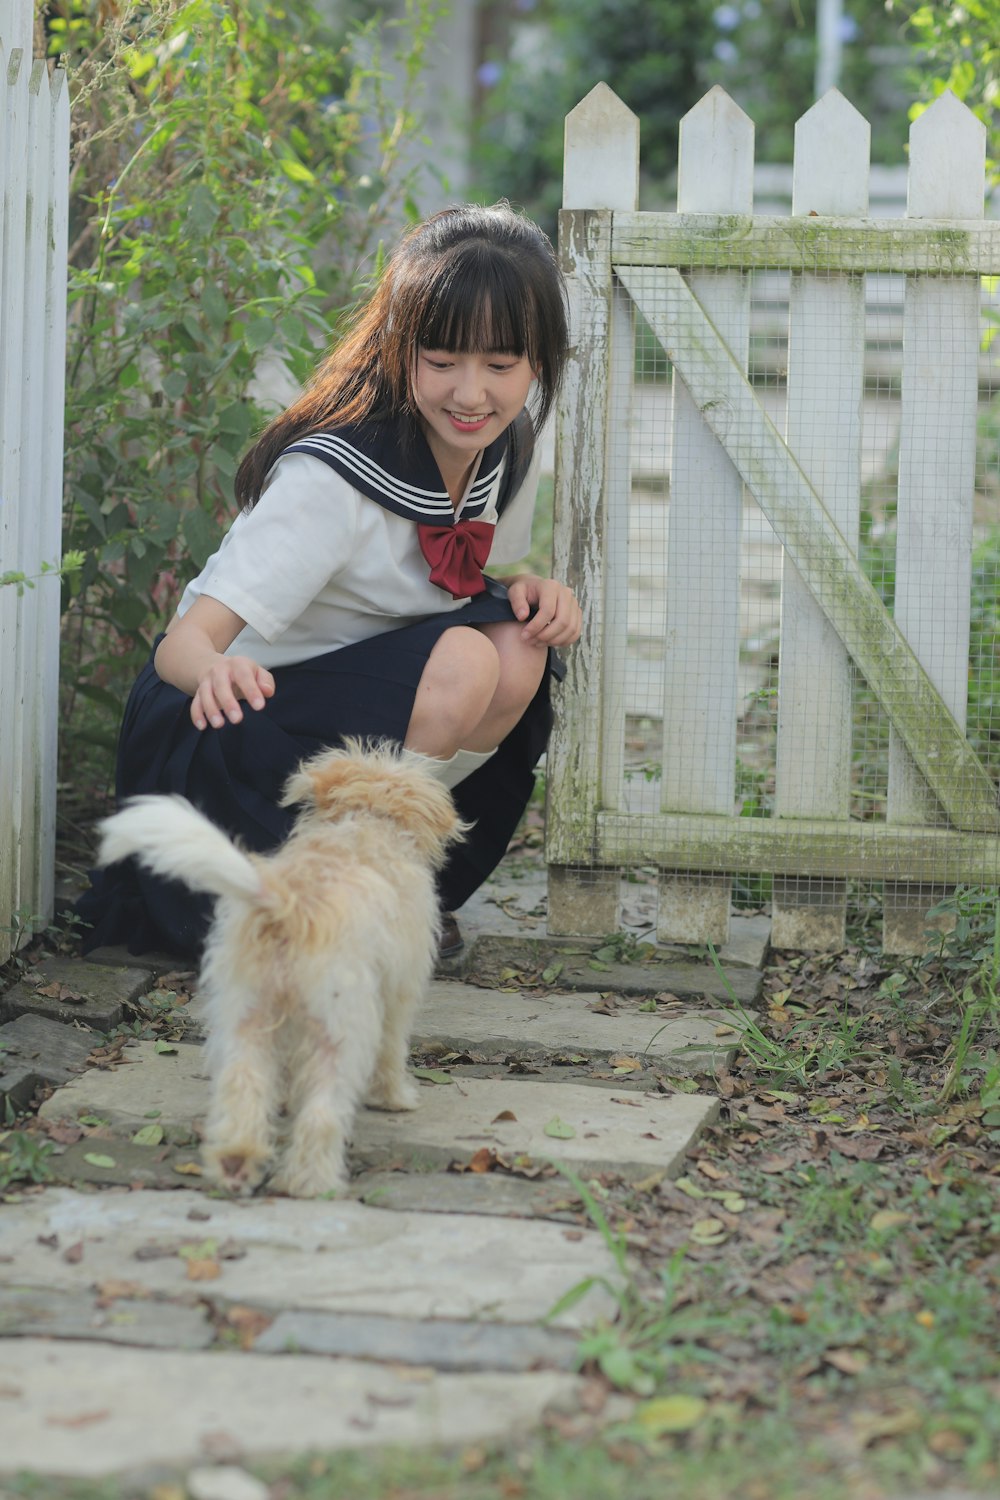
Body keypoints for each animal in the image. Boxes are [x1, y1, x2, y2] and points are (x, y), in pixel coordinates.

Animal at [97, 744, 464, 1200]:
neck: (364, 823)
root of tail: (287, 905)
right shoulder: (398, 993)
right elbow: (391, 1051)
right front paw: (395, 1098)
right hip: (339, 1031)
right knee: (323, 1112)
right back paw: (312, 1183)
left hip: (245, 1017)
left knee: (243, 1086)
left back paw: (236, 1163)